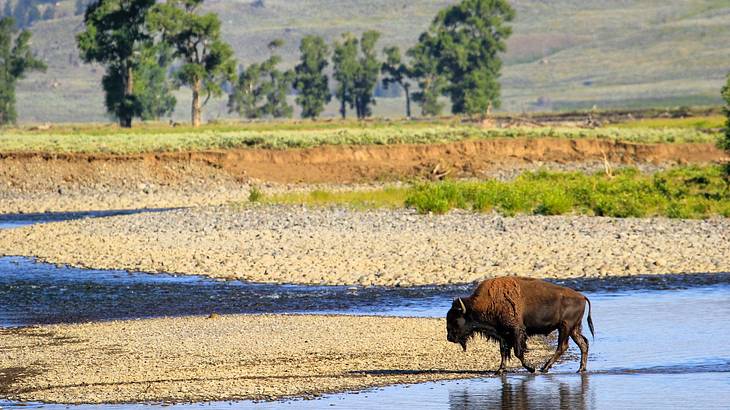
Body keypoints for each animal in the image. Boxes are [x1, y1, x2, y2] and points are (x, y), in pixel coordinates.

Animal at [444, 278, 592, 374]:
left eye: (456, 319)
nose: (449, 337)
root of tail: (582, 297)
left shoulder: (516, 331)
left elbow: (518, 352)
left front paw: (531, 368)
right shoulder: (502, 334)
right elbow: (503, 351)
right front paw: (500, 370)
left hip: (565, 327)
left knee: (562, 346)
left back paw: (544, 368)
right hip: (573, 329)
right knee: (583, 344)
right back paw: (580, 369)